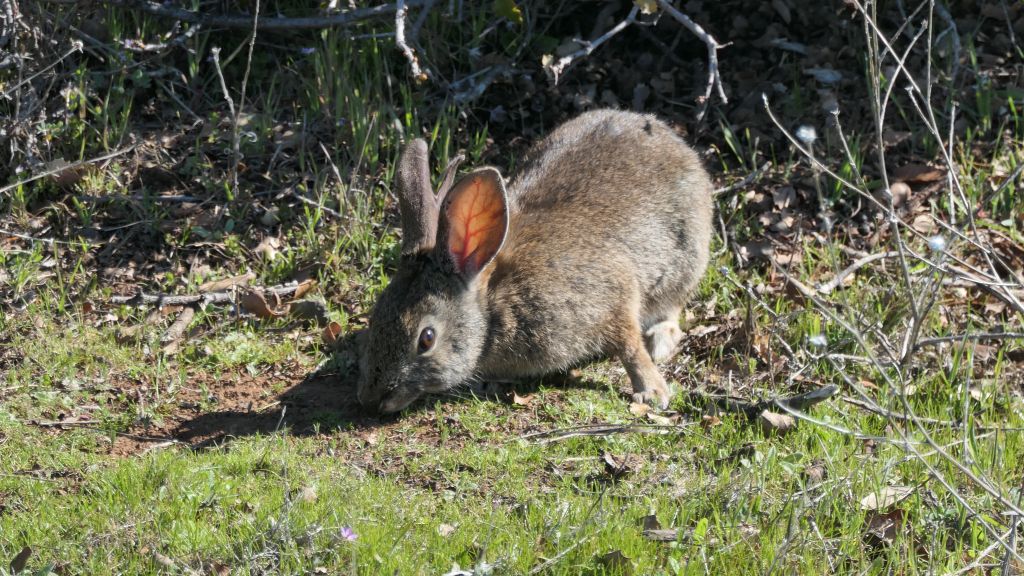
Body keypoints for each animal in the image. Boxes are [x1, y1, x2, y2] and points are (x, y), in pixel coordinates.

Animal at [358, 108, 712, 412]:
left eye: (427, 339)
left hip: (684, 263)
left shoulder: (612, 294)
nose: (374, 400)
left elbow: (628, 344)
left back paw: (659, 342)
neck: (493, 305)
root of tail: (673, 141)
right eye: (376, 314)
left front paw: (652, 392)